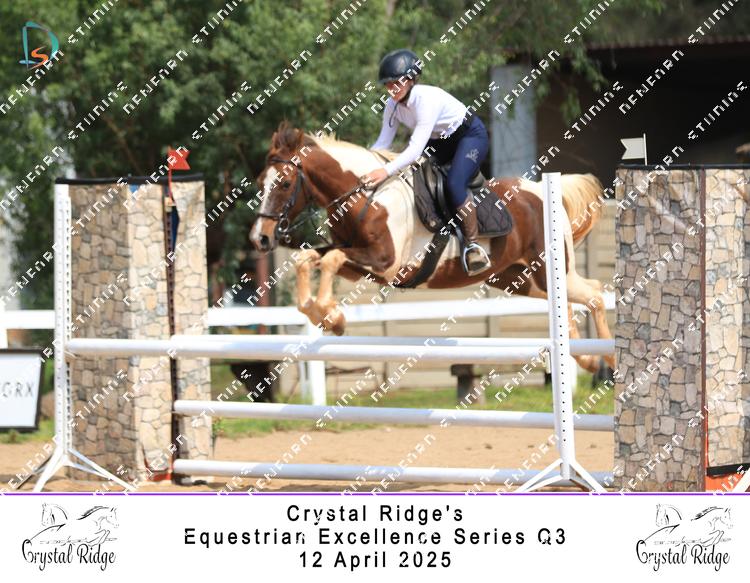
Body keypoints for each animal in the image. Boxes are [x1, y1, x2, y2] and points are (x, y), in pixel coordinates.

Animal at [250, 122, 613, 372]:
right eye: (259, 183)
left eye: (284, 183)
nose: (259, 238)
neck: (365, 195)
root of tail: (538, 189)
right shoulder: (360, 262)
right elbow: (308, 258)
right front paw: (325, 316)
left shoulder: (385, 263)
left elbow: (330, 260)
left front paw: (331, 316)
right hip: (518, 278)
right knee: (569, 303)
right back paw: (587, 358)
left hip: (546, 269)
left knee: (594, 293)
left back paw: (605, 356)